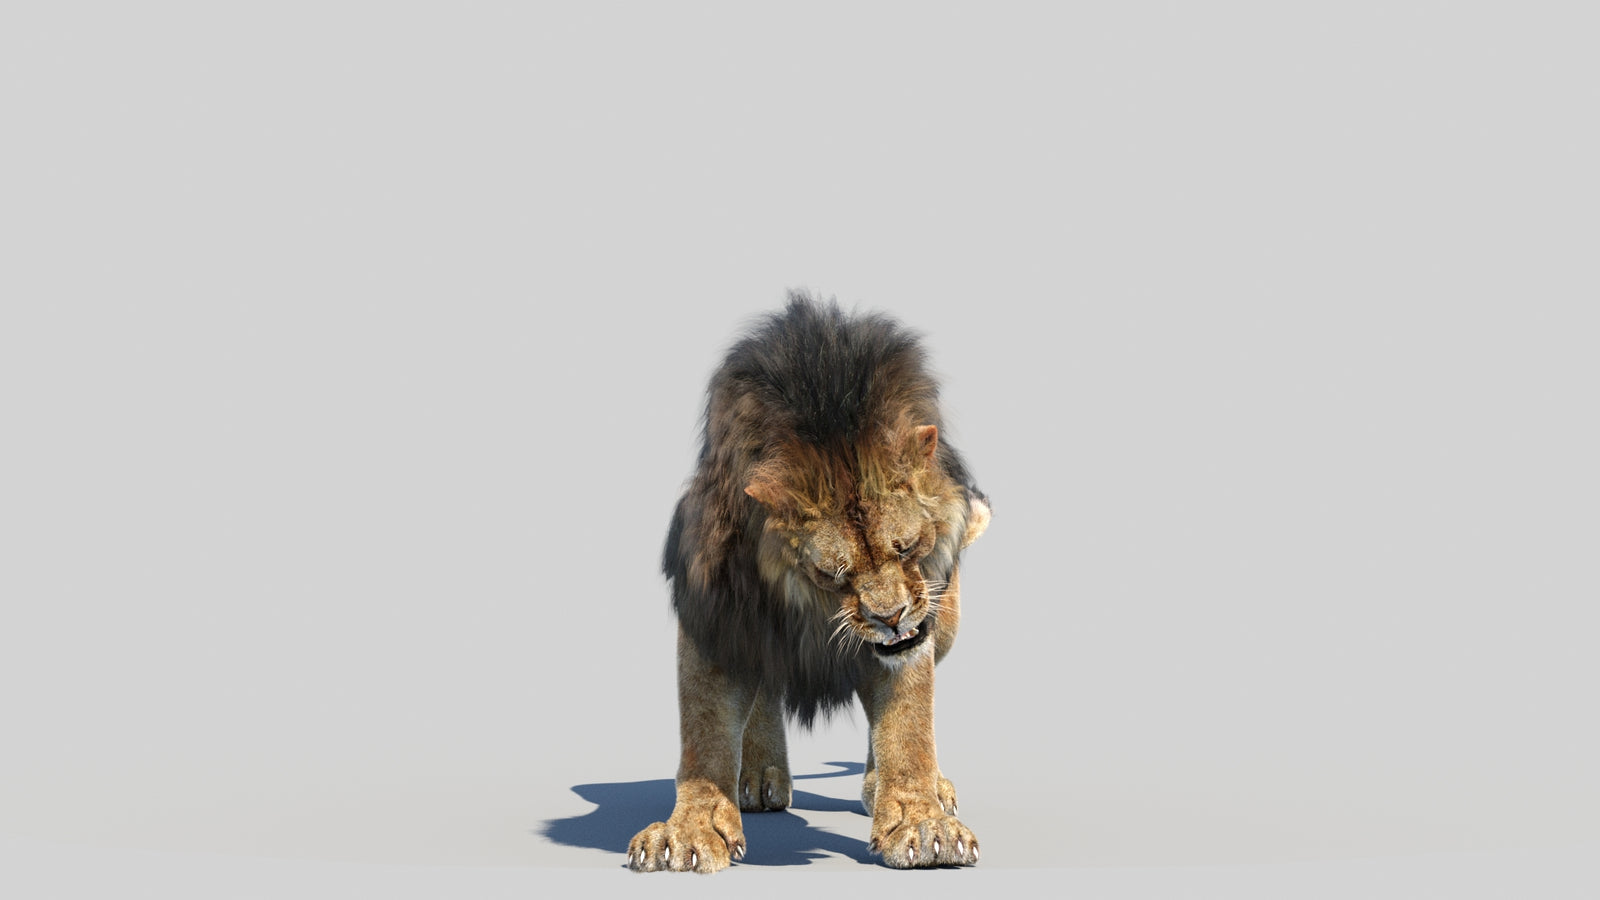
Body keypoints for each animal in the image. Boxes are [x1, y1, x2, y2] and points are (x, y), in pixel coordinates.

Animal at [626, 293, 990, 872]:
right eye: (831, 572)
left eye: (906, 547)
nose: (891, 618)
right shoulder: (716, 612)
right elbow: (705, 731)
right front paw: (690, 831)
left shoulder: (917, 628)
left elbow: (909, 724)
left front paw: (920, 822)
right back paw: (758, 777)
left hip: (946, 620)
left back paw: (892, 787)